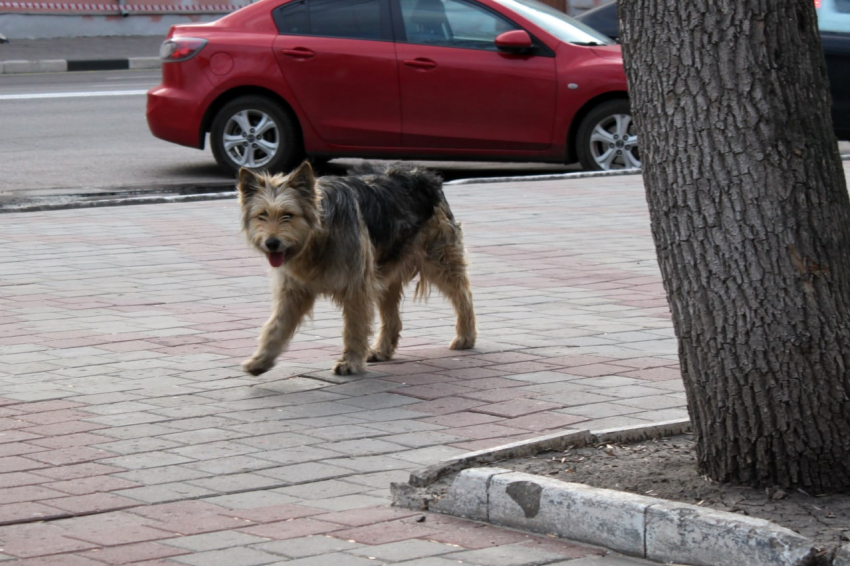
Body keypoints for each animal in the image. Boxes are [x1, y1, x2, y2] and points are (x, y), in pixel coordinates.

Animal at [238, 162, 474, 380]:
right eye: (262, 215)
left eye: (288, 215)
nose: (272, 243)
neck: (319, 235)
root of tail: (426, 175)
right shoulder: (294, 291)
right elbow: (276, 327)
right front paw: (260, 360)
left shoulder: (356, 287)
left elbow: (354, 327)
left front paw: (350, 362)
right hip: (385, 270)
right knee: (392, 318)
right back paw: (382, 350)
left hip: (440, 261)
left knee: (463, 296)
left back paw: (466, 336)